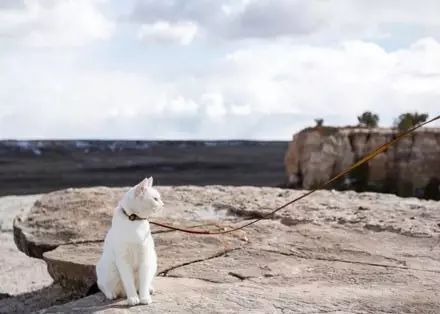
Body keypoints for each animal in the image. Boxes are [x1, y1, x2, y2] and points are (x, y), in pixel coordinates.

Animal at [97, 178, 164, 306]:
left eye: (159, 198)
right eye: (155, 199)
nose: (163, 204)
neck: (134, 219)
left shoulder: (145, 258)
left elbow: (144, 282)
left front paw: (144, 298)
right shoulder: (123, 259)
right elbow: (128, 282)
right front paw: (133, 298)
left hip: (153, 260)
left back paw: (149, 289)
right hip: (108, 268)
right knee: (103, 286)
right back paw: (111, 294)